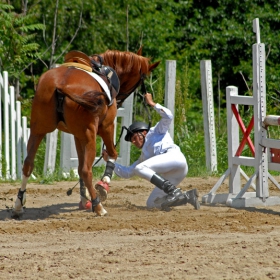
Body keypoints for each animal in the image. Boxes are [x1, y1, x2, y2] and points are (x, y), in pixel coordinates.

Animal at [12, 47, 160, 219]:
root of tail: (60, 85)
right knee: (87, 170)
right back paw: (98, 206)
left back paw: (18, 204)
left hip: (38, 130)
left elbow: (79, 166)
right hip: (90, 135)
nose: (119, 101)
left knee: (28, 164)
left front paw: (84, 199)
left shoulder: (77, 135)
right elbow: (111, 154)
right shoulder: (106, 127)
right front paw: (103, 185)